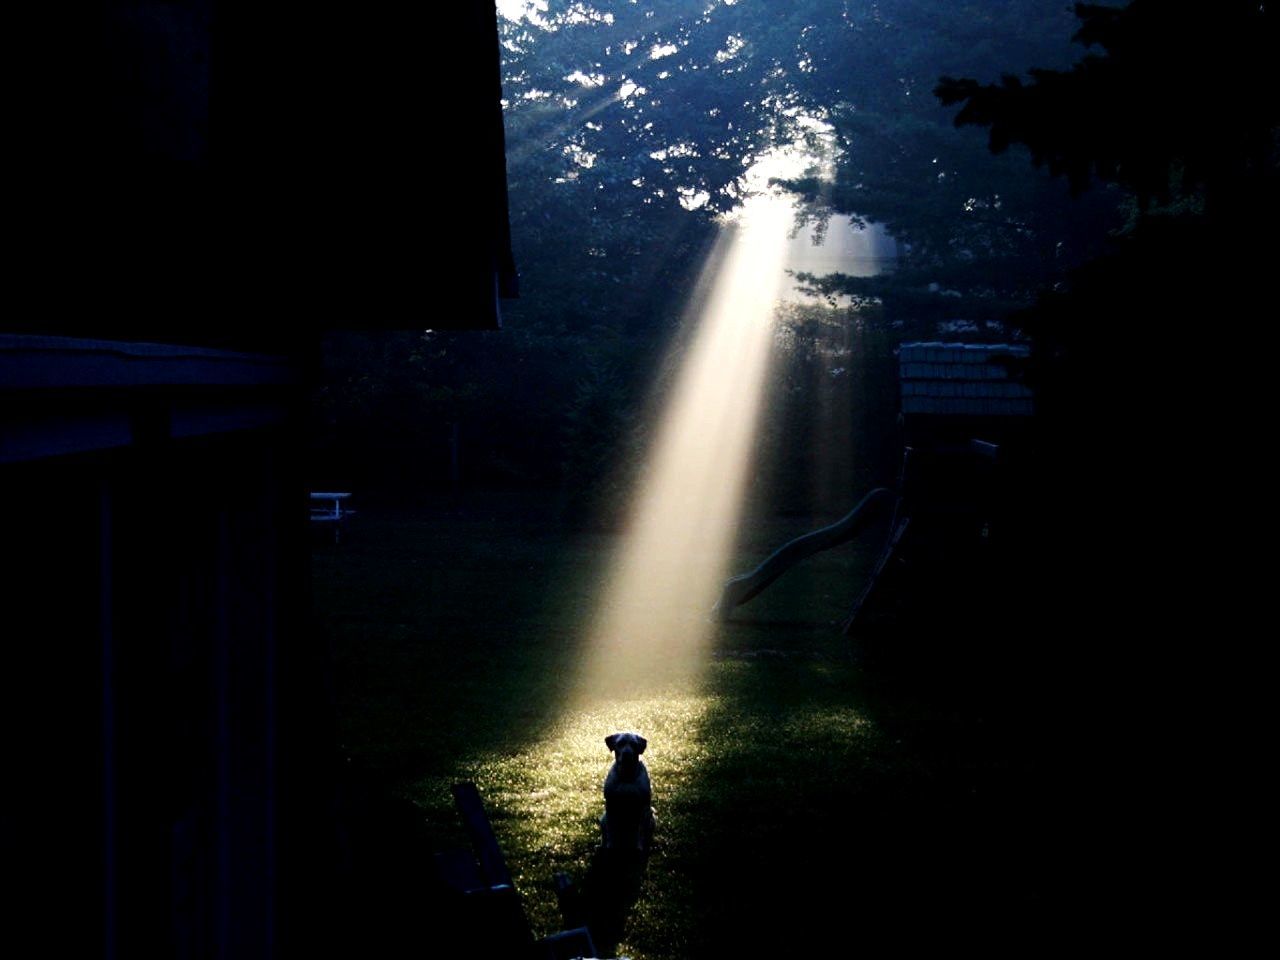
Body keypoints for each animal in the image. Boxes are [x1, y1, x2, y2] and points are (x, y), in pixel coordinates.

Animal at [599, 732, 655, 860]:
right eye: (620, 743)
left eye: (634, 744)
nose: (627, 754)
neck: (627, 775)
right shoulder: (610, 806)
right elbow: (611, 830)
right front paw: (610, 847)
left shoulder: (642, 808)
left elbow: (640, 831)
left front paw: (639, 849)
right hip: (603, 819)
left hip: (651, 818)